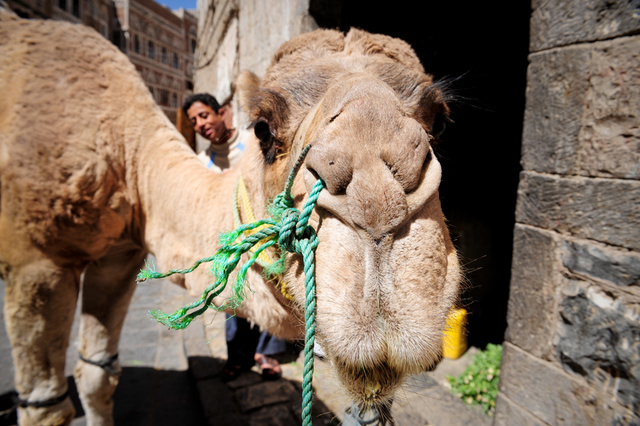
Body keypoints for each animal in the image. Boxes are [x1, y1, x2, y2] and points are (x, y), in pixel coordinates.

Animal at [0, 11, 461, 426]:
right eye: (262, 128)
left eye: (439, 121)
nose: (378, 200)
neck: (125, 155)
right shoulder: (37, 265)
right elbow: (47, 410)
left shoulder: (119, 256)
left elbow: (96, 376)